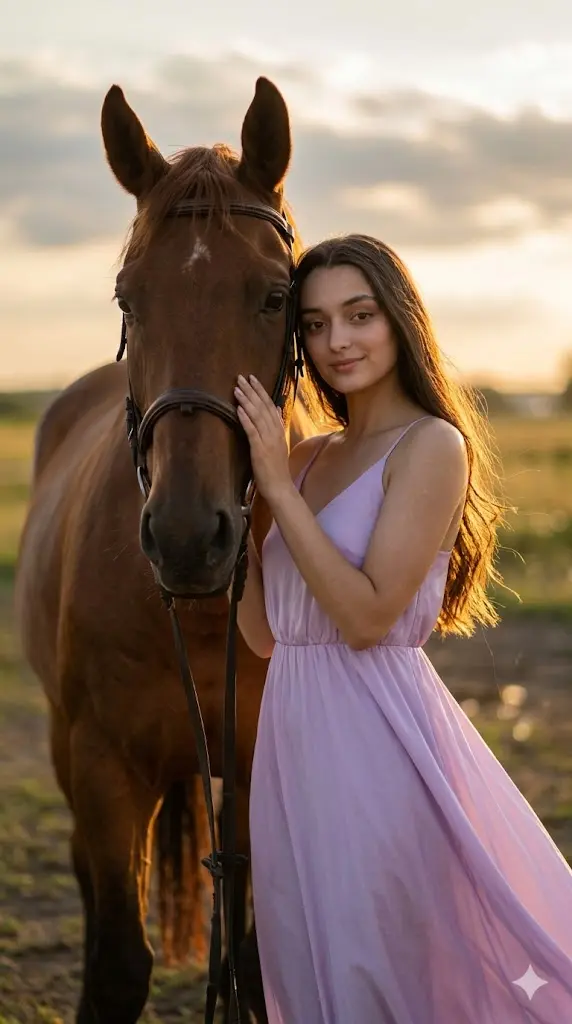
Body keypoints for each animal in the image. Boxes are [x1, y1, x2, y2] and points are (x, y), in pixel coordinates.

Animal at [15, 76, 315, 1023]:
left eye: (274, 295)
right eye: (127, 298)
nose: (187, 536)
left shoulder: (258, 766)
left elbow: (254, 959)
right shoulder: (104, 769)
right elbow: (117, 959)